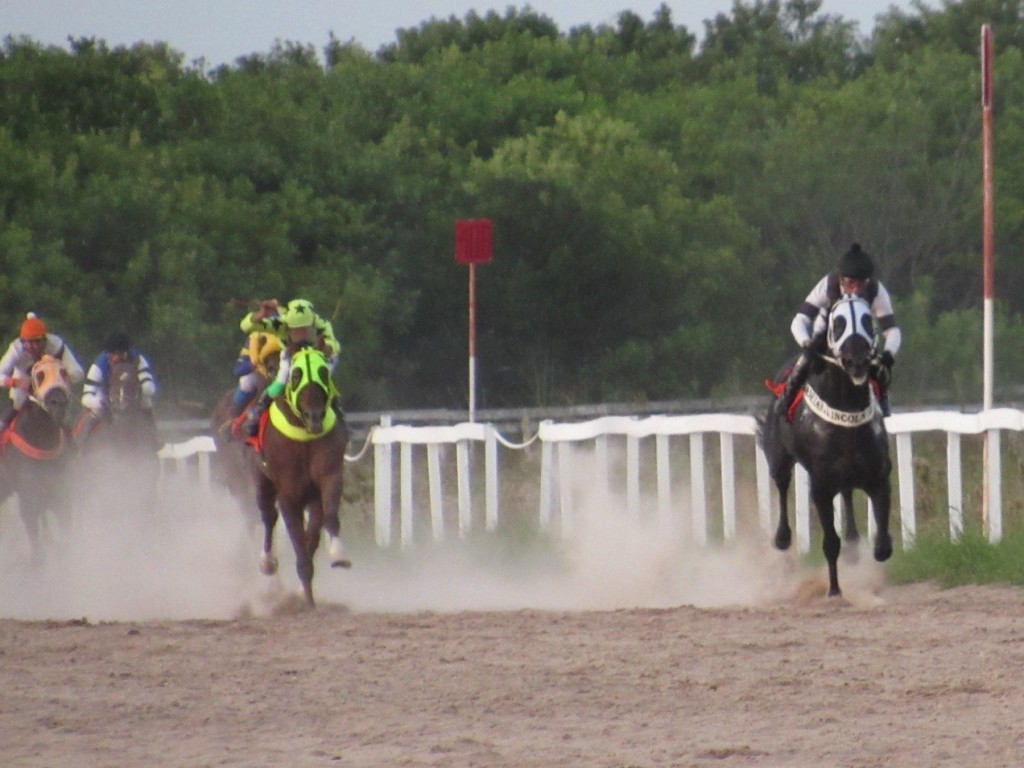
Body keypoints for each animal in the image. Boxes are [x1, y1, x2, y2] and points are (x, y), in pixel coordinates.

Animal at [0, 356, 74, 565]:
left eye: (63, 371)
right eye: (39, 375)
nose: (58, 401)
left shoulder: (61, 493)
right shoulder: (27, 497)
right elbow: (34, 538)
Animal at [249, 348, 350, 606]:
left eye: (324, 372)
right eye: (295, 375)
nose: (315, 416)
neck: (305, 437)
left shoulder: (327, 480)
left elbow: (325, 521)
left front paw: (338, 554)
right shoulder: (288, 494)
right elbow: (296, 538)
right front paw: (307, 600)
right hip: (261, 481)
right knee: (268, 517)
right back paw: (267, 562)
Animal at [757, 296, 892, 598]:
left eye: (867, 320)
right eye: (838, 322)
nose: (857, 361)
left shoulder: (878, 476)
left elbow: (882, 543)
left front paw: (874, 549)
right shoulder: (820, 485)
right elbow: (830, 542)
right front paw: (834, 590)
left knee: (847, 495)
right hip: (779, 457)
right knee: (781, 484)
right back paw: (782, 538)